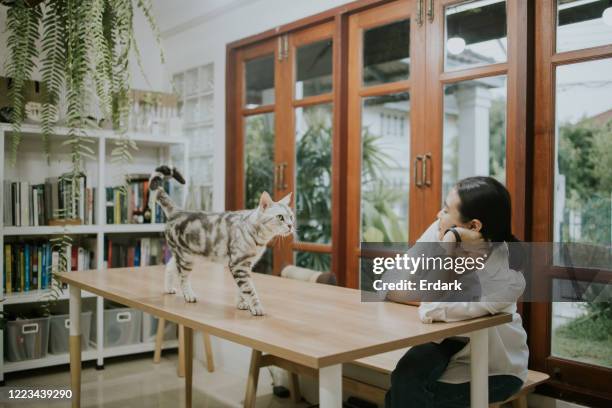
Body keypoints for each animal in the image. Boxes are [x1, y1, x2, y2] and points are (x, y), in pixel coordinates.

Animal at [146, 165, 294, 316]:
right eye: (280, 217)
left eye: (291, 217)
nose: (291, 225)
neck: (259, 238)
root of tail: (177, 211)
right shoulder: (238, 264)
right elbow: (248, 289)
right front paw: (256, 307)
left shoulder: (247, 265)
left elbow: (241, 289)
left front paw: (241, 304)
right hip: (186, 258)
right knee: (183, 278)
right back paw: (189, 295)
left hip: (184, 255)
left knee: (170, 268)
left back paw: (169, 289)